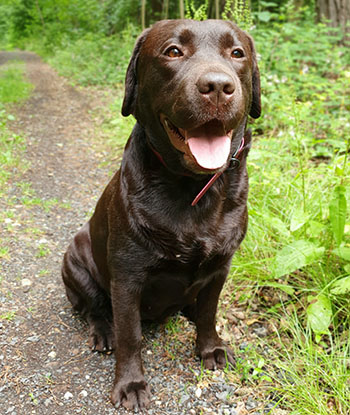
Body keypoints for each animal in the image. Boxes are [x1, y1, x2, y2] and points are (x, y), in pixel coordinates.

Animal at [62, 18, 260, 410]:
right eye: (173, 51)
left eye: (237, 53)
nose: (218, 86)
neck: (194, 191)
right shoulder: (127, 278)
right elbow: (130, 335)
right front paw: (131, 384)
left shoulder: (221, 266)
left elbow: (209, 312)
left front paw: (210, 348)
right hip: (74, 262)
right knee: (94, 308)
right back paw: (102, 331)